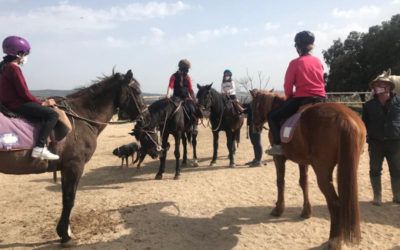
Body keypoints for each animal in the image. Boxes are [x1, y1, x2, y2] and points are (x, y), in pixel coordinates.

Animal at [0, 69, 147, 245]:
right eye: (137, 91)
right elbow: (69, 199)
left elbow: (66, 198)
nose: (145, 116)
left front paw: (64, 231)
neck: (80, 117)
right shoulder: (74, 166)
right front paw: (65, 234)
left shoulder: (65, 168)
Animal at [250, 89, 366, 248]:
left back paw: (334, 240)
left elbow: (280, 182)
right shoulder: (302, 161)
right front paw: (306, 211)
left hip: (322, 171)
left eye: (253, 105)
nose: (254, 127)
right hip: (349, 168)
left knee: (335, 203)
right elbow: (303, 183)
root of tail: (345, 118)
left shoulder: (278, 159)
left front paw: (278, 209)